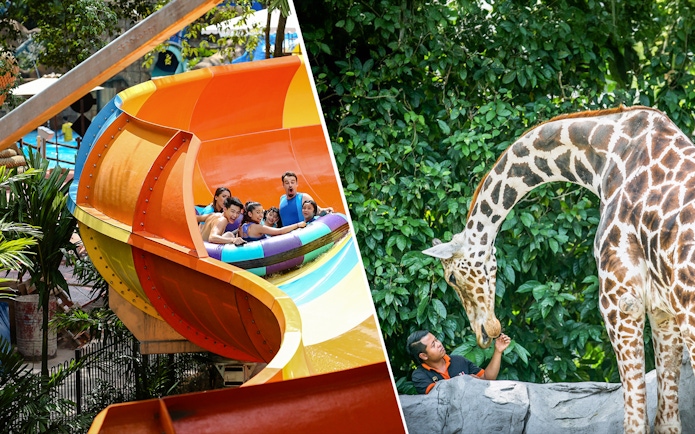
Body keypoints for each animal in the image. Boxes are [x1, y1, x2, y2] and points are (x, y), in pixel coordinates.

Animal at [422, 105, 695, 434]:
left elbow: (634, 421)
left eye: (451, 277)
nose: (485, 333)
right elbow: (667, 422)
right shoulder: (662, 311)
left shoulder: (620, 301)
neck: (602, 157)